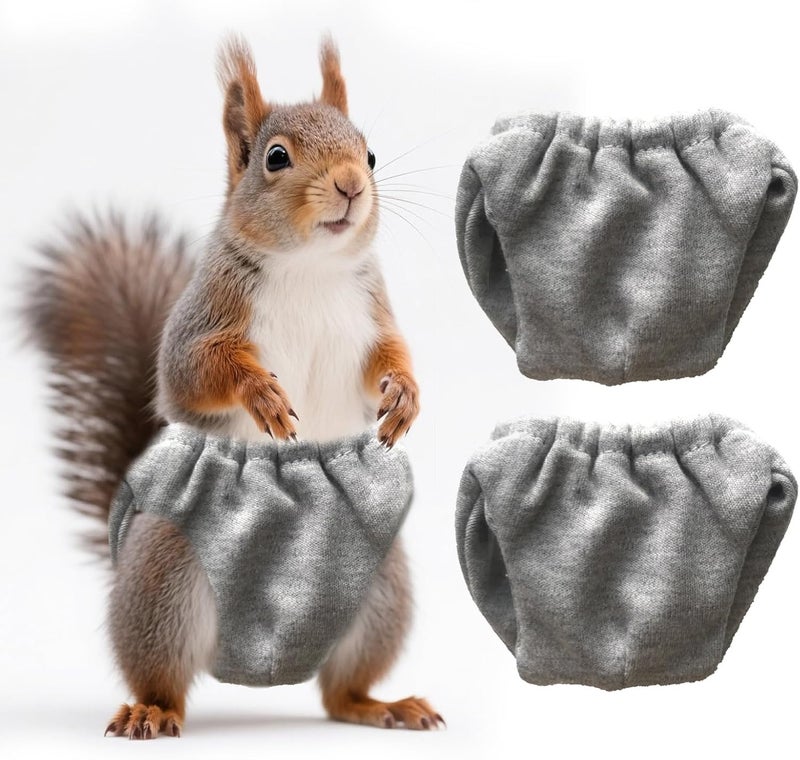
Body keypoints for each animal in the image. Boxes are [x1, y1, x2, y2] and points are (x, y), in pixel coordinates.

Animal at [23, 35, 442, 739]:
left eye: (369, 152)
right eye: (276, 157)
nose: (352, 185)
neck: (309, 267)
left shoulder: (371, 316)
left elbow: (386, 363)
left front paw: (404, 396)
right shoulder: (205, 320)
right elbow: (194, 374)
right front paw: (262, 396)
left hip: (382, 585)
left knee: (340, 690)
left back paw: (378, 704)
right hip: (164, 578)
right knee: (163, 673)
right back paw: (151, 709)